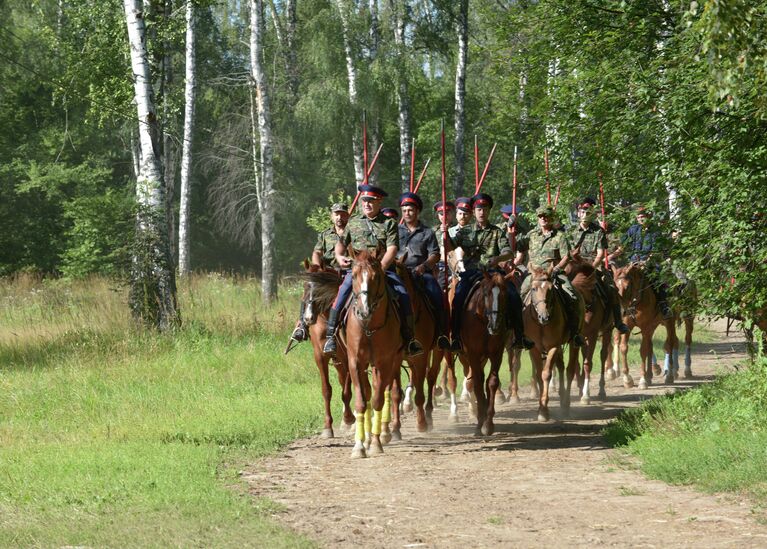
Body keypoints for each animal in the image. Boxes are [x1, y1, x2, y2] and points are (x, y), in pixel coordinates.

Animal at [298, 262, 356, 436]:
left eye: (321, 288)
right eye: (305, 286)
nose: (308, 318)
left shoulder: (349, 356)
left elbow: (347, 391)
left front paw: (349, 418)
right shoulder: (320, 356)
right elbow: (326, 390)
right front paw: (327, 426)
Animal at [340, 248, 402, 458]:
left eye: (376, 277)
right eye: (353, 276)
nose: (364, 310)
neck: (369, 327)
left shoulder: (384, 363)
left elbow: (377, 400)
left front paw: (375, 443)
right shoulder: (354, 363)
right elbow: (361, 401)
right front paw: (359, 446)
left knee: (383, 391)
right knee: (367, 392)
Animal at [452, 268, 512, 432]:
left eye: (505, 294)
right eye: (486, 293)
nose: (495, 325)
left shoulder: (496, 353)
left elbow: (492, 382)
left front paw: (488, 423)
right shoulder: (473, 354)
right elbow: (477, 383)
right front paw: (480, 421)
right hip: (466, 357)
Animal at [568, 260, 616, 404]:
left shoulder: (593, 335)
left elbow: (588, 363)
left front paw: (586, 395)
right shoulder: (577, 337)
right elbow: (577, 363)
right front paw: (580, 388)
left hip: (607, 330)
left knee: (603, 355)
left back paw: (601, 390)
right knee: (585, 355)